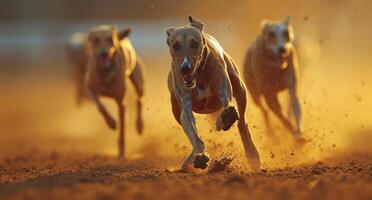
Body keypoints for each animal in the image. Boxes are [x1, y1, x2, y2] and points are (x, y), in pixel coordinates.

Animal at [85, 25, 145, 158]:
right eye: (96, 40)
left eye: (109, 39)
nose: (104, 53)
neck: (105, 72)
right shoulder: (89, 88)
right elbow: (100, 106)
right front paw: (111, 123)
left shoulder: (121, 102)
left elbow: (122, 130)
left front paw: (121, 152)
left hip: (138, 80)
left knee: (139, 100)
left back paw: (139, 125)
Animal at [167, 16, 260, 171]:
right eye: (176, 45)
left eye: (194, 43)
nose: (185, 68)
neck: (199, 76)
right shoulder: (185, 107)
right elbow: (193, 131)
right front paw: (200, 156)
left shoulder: (224, 89)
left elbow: (227, 106)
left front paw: (224, 119)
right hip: (174, 107)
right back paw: (190, 160)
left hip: (240, 87)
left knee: (242, 123)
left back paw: (252, 154)